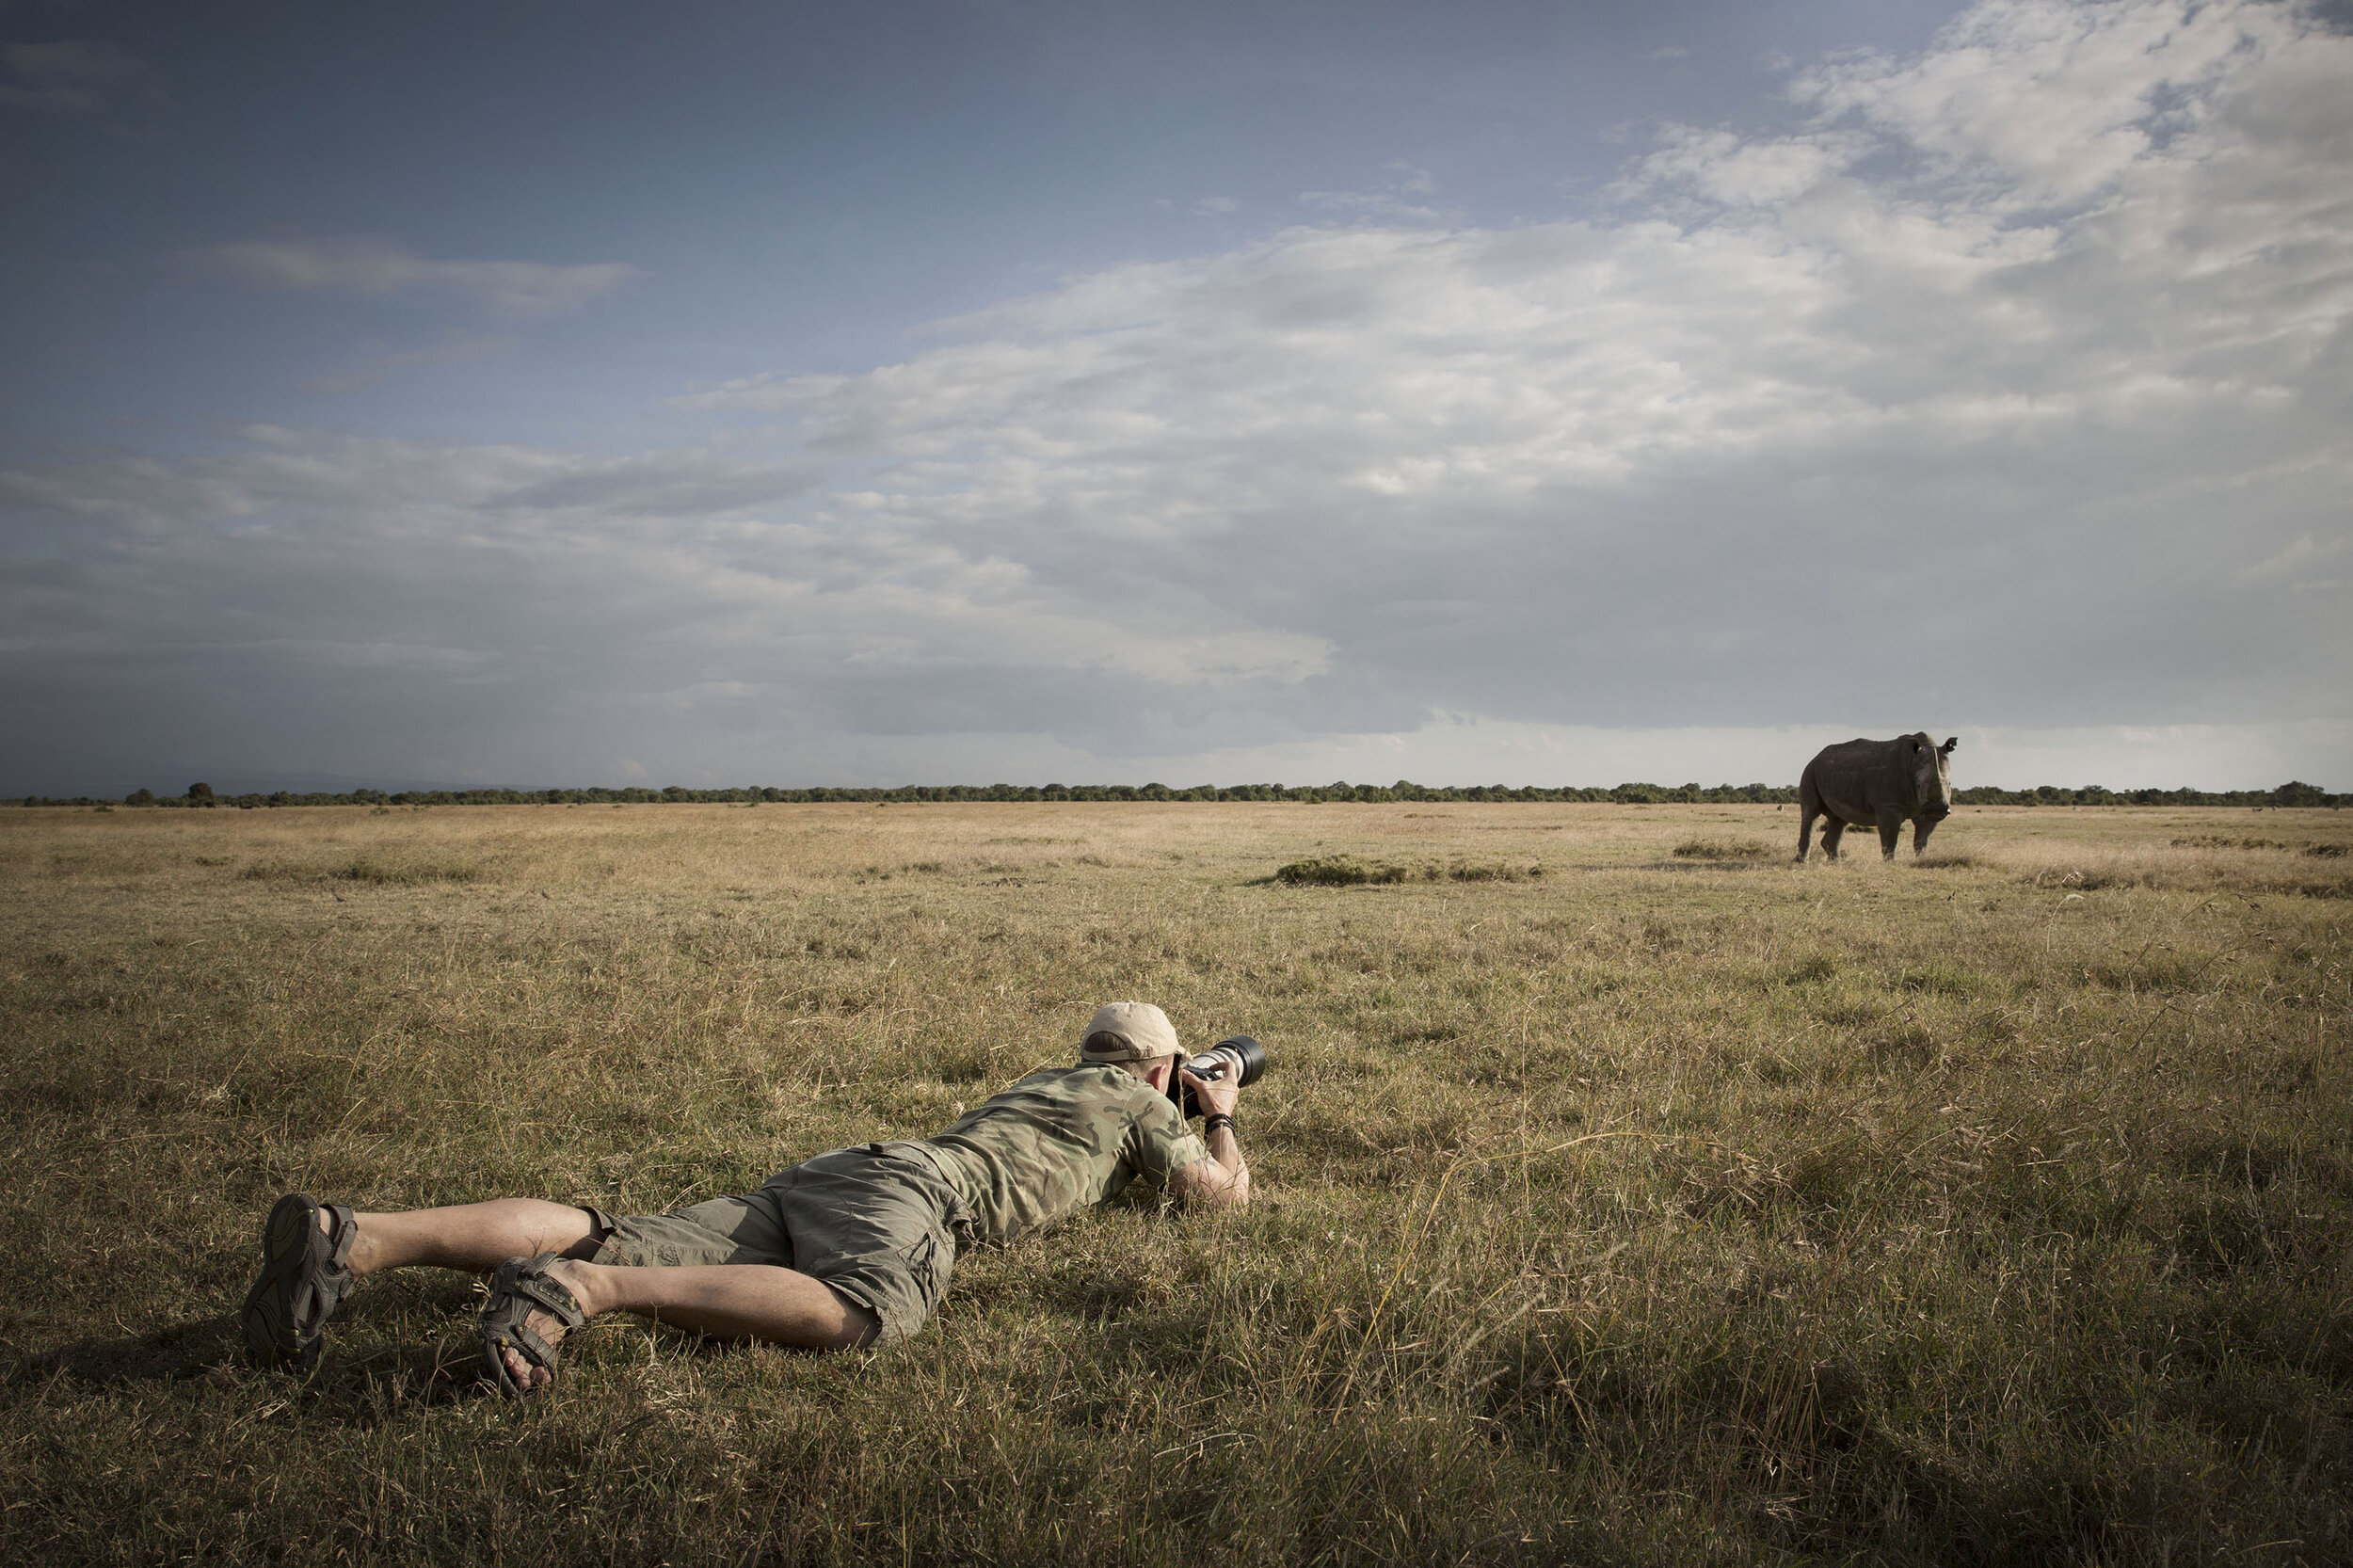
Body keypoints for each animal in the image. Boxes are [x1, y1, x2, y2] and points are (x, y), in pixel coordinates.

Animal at [1788, 729, 1958, 861]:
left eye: (1950, 785)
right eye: (1919, 785)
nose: (1937, 809)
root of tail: (1816, 757)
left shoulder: (1924, 809)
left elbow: (1921, 840)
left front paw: (1921, 861)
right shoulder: (1888, 805)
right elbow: (1890, 838)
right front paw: (1890, 864)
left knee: (1839, 819)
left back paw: (1836, 862)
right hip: (1810, 771)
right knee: (1811, 812)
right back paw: (1803, 862)